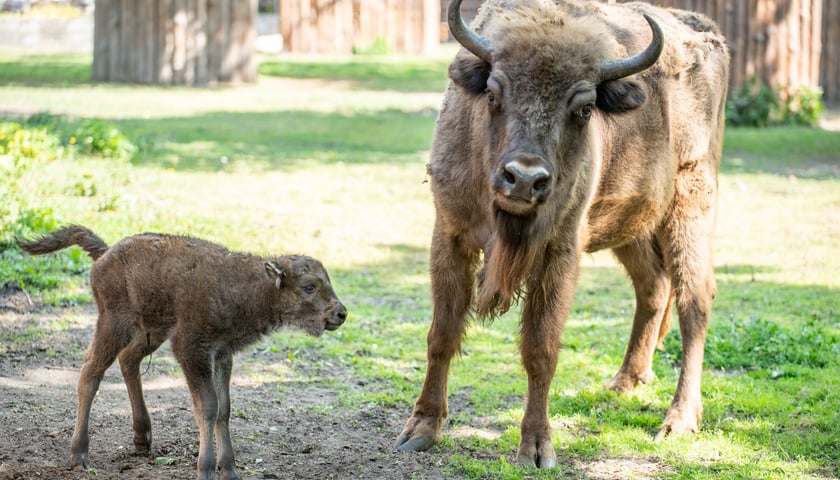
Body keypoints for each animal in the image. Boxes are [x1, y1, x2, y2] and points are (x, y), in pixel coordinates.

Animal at [16, 225, 346, 480]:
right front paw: (207, 469)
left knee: (128, 360)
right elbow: (208, 407)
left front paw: (231, 470)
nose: (340, 314)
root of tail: (105, 253)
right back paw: (80, 456)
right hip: (115, 323)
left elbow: (224, 409)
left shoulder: (222, 355)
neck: (248, 287)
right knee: (90, 373)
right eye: (309, 286)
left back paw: (142, 439)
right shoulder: (192, 350)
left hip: (152, 331)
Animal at [396, 0, 728, 468]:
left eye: (585, 108)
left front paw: (536, 448)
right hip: (631, 227)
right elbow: (441, 334)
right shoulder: (450, 235)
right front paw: (421, 429)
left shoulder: (560, 251)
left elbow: (541, 349)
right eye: (493, 93)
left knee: (693, 301)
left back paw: (678, 420)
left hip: (692, 206)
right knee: (653, 287)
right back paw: (624, 381)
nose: (524, 178)